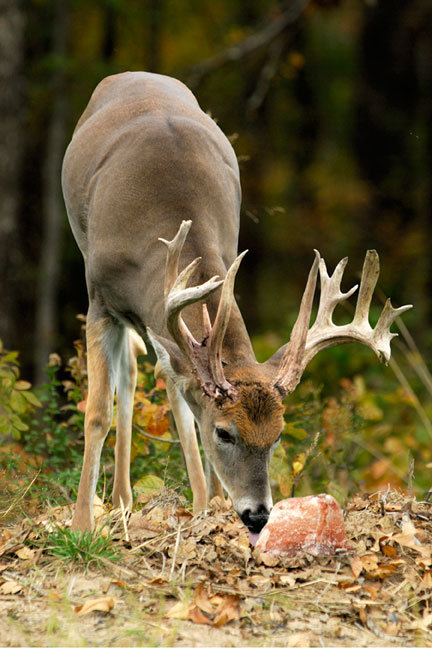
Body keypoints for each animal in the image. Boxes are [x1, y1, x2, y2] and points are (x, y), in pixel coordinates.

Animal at [61, 72, 412, 536]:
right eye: (225, 433)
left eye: (277, 435)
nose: (258, 514)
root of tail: (134, 74)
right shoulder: (99, 299)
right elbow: (98, 413)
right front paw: (82, 524)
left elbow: (182, 404)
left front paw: (207, 506)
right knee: (132, 376)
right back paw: (119, 502)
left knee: (162, 384)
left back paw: (161, 499)